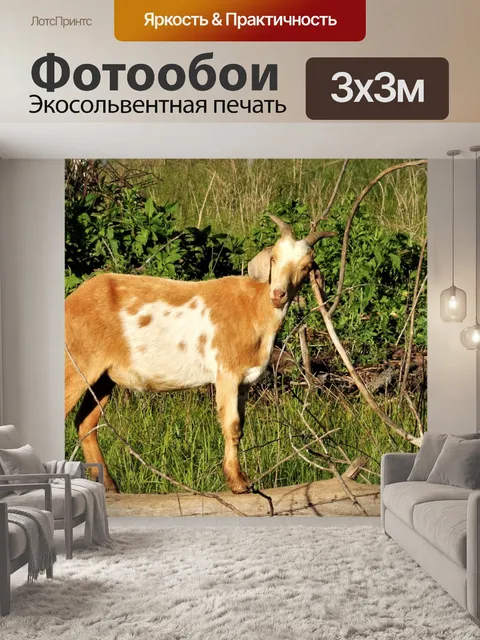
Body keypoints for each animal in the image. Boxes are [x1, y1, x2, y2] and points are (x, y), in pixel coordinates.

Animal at [64, 216, 334, 493]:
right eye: (274, 259)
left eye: (306, 267)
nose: (278, 294)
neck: (254, 307)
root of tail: (70, 301)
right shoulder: (226, 371)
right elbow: (232, 425)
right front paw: (237, 483)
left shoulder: (244, 379)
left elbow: (240, 425)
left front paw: (242, 479)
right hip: (76, 363)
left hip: (103, 377)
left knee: (86, 423)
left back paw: (108, 485)